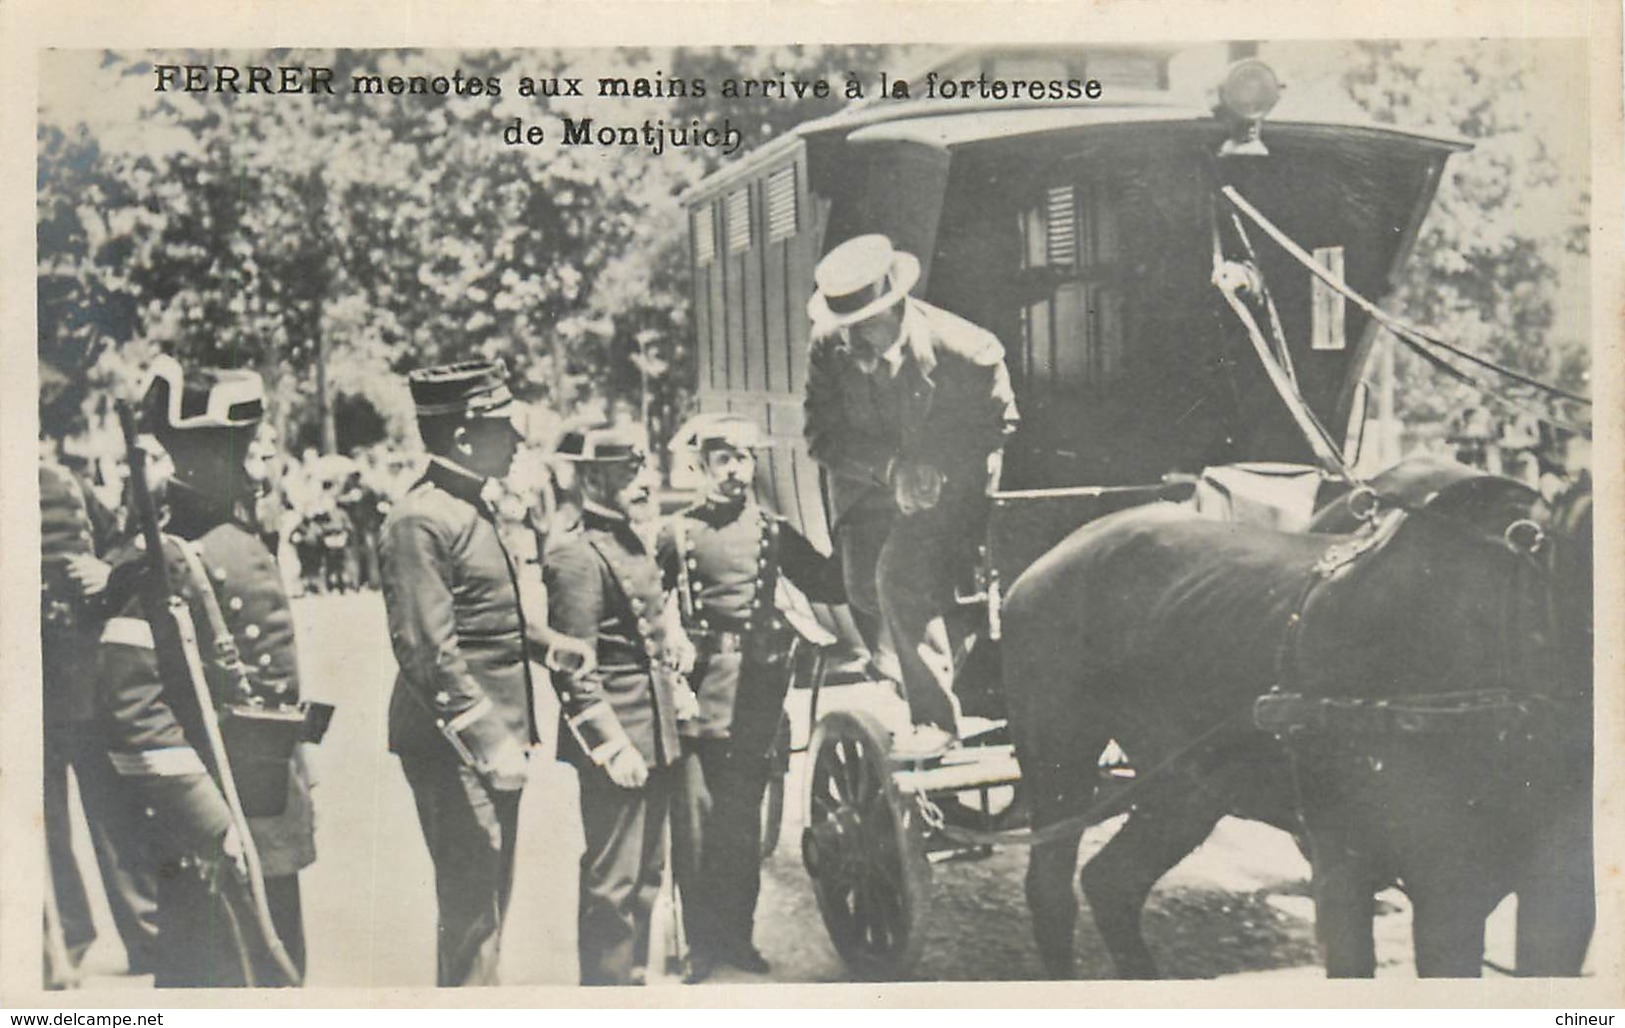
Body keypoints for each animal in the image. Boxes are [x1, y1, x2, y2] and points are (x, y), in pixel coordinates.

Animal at [1001, 457, 1599, 980]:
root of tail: (1054, 555)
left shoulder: (1561, 893)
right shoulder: (1405, 880)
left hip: (1188, 784)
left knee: (1113, 882)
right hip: (1061, 751)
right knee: (1052, 889)